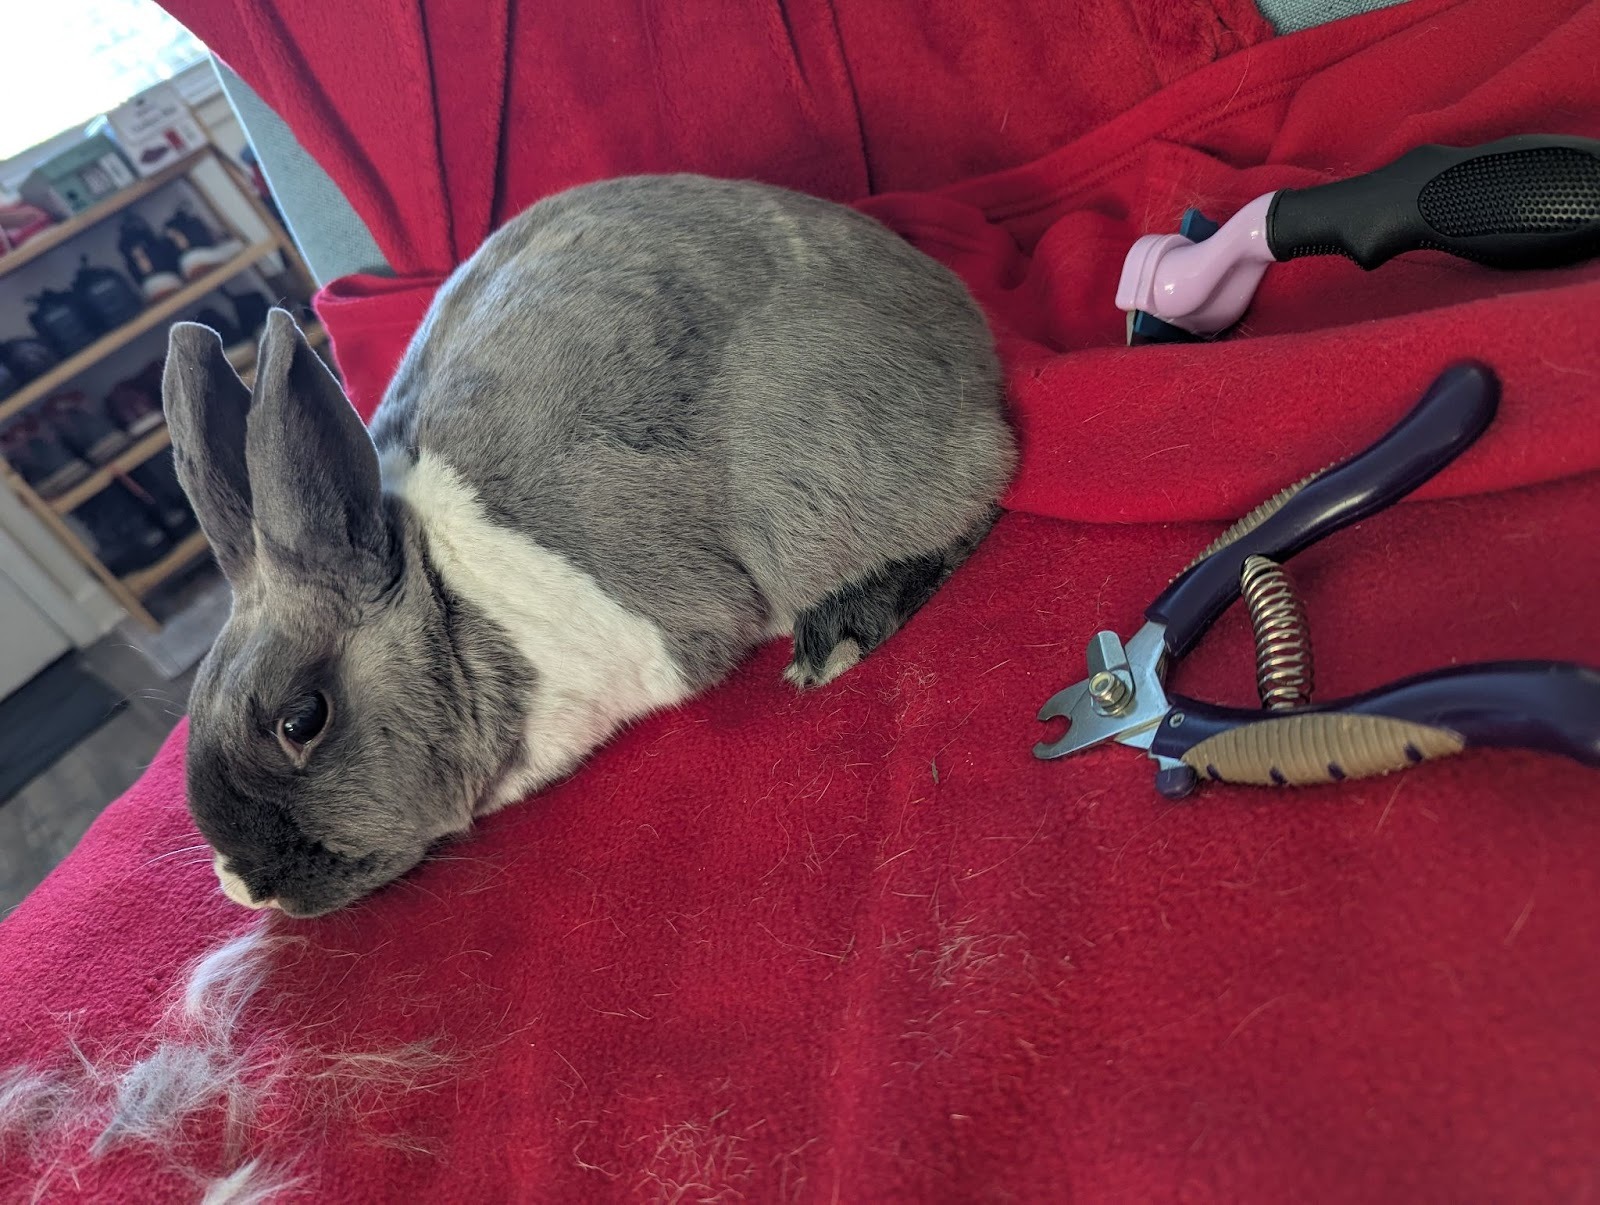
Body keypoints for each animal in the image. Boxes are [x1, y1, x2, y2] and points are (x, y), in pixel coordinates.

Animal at [164, 174, 1016, 918]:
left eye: (302, 719)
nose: (248, 885)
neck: (448, 606)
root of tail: (965, 331)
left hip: (812, 476)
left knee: (972, 498)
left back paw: (834, 640)